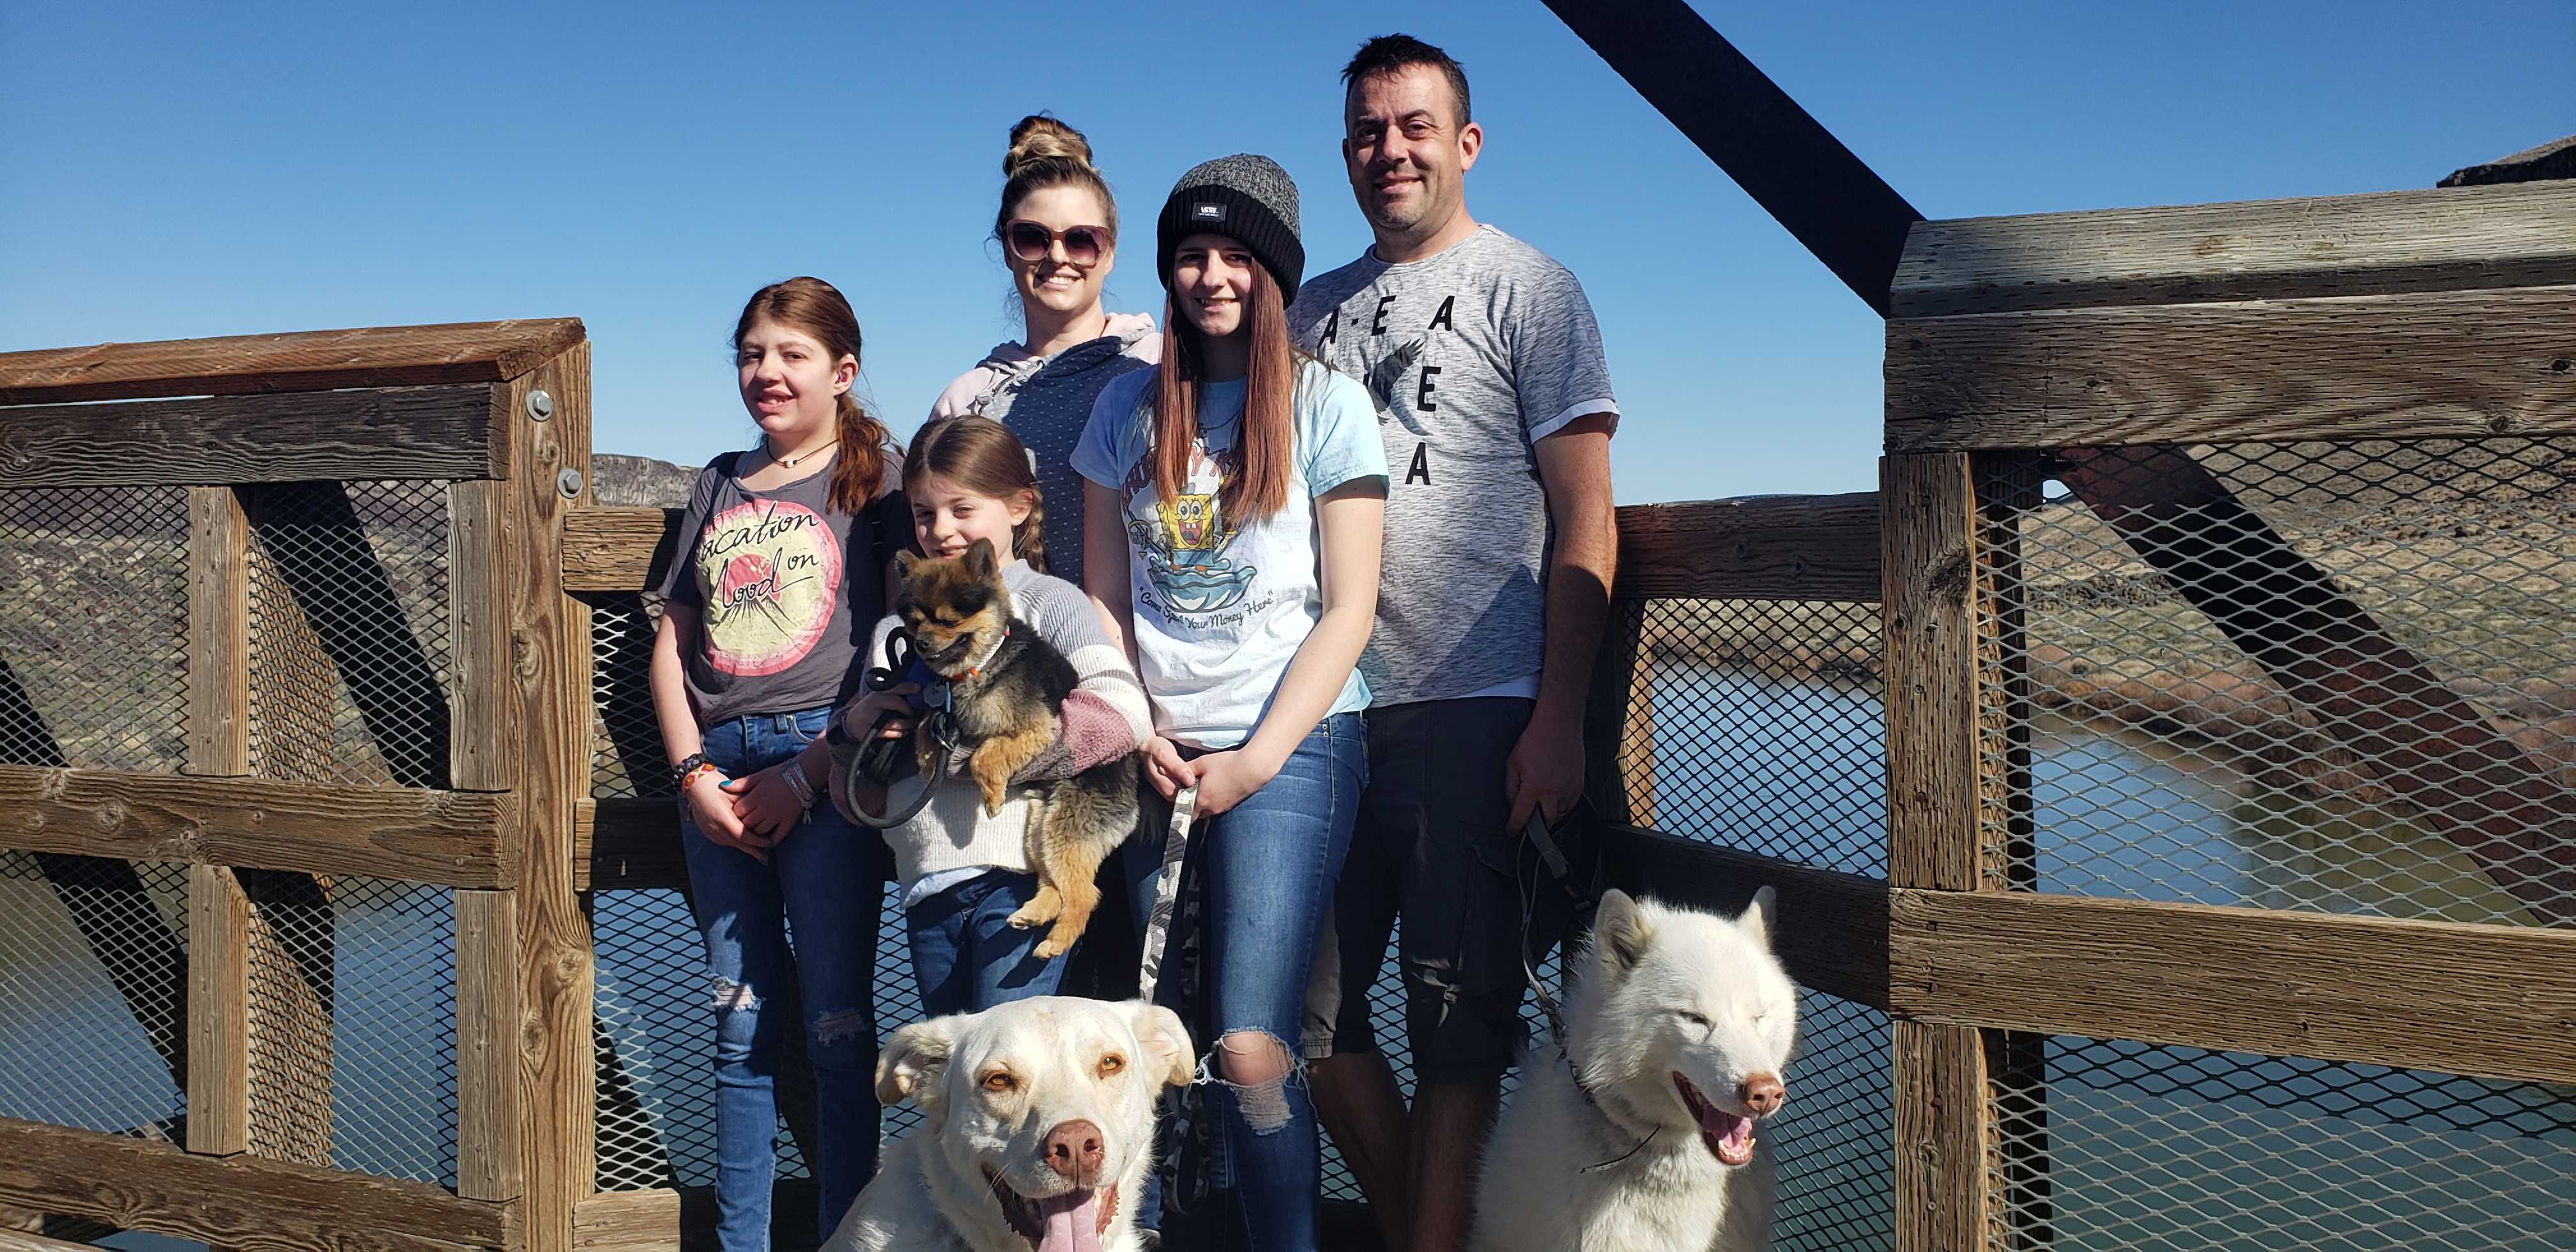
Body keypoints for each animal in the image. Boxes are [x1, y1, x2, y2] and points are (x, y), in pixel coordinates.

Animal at [895, 538, 1140, 959]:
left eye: (948, 621)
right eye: (914, 622)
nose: (921, 644)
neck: (982, 662)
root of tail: (1133, 800)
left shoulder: (1038, 728)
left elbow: (985, 754)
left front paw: (991, 797)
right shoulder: (944, 713)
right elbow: (925, 728)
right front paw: (927, 761)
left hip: (1065, 828)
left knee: (1084, 895)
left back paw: (1057, 941)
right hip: (1039, 828)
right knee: (1056, 887)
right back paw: (1034, 914)